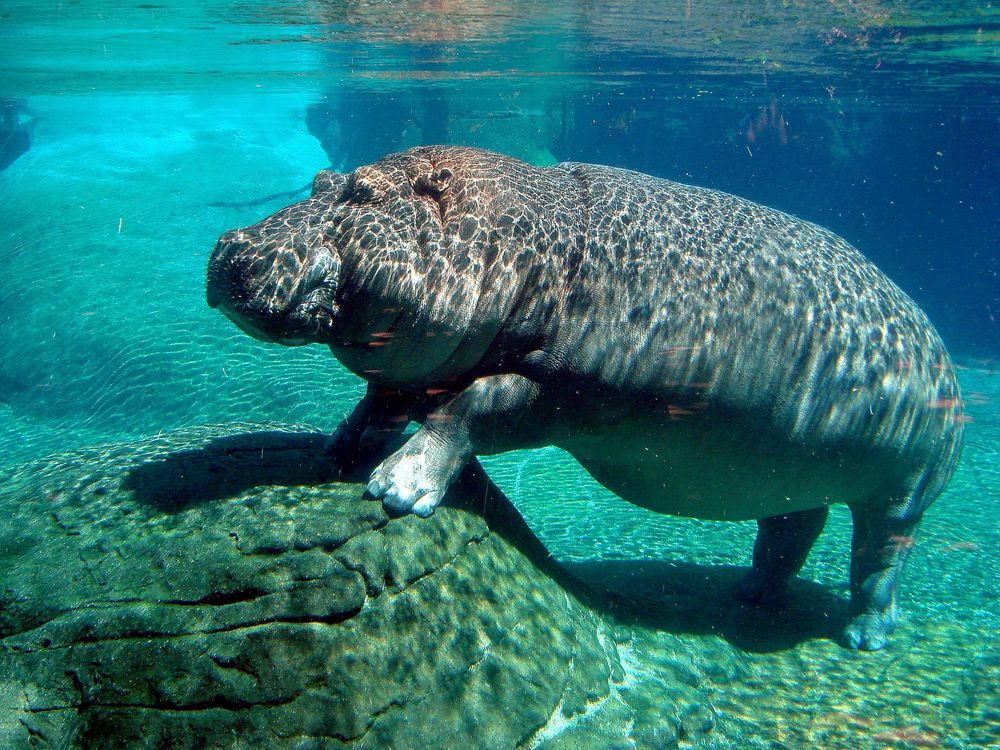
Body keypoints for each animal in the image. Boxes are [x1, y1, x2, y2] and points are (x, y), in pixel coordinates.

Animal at [206, 145, 964, 650]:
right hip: (793, 466)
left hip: (904, 488)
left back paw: (866, 636)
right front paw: (337, 448)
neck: (508, 239)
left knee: (879, 558)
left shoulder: (558, 392)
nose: (230, 244)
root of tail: (940, 345)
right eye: (321, 179)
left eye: (364, 193)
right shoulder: (418, 368)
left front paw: (397, 488)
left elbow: (463, 412)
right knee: (791, 526)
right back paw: (751, 594)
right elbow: (380, 401)